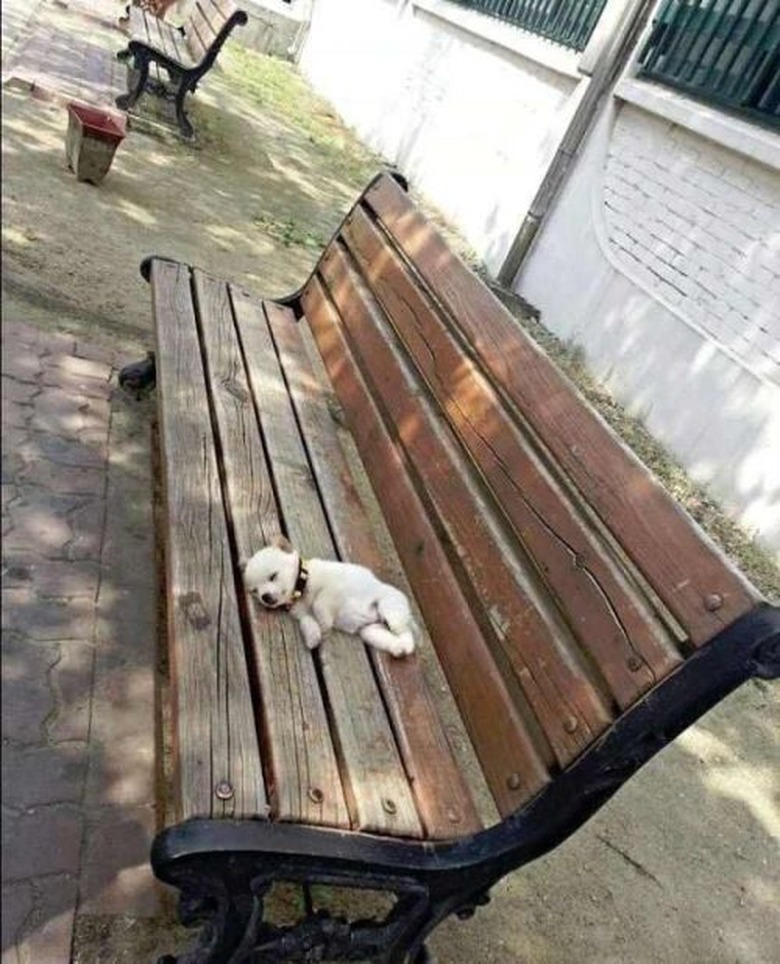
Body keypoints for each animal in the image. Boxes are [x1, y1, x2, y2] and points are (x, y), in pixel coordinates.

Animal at [244, 540, 418, 660]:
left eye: (273, 576)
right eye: (255, 591)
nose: (265, 597)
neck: (302, 587)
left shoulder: (333, 590)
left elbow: (319, 604)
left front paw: (324, 623)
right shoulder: (303, 614)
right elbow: (307, 622)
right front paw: (313, 636)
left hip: (390, 611)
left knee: (404, 631)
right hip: (370, 631)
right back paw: (399, 648)